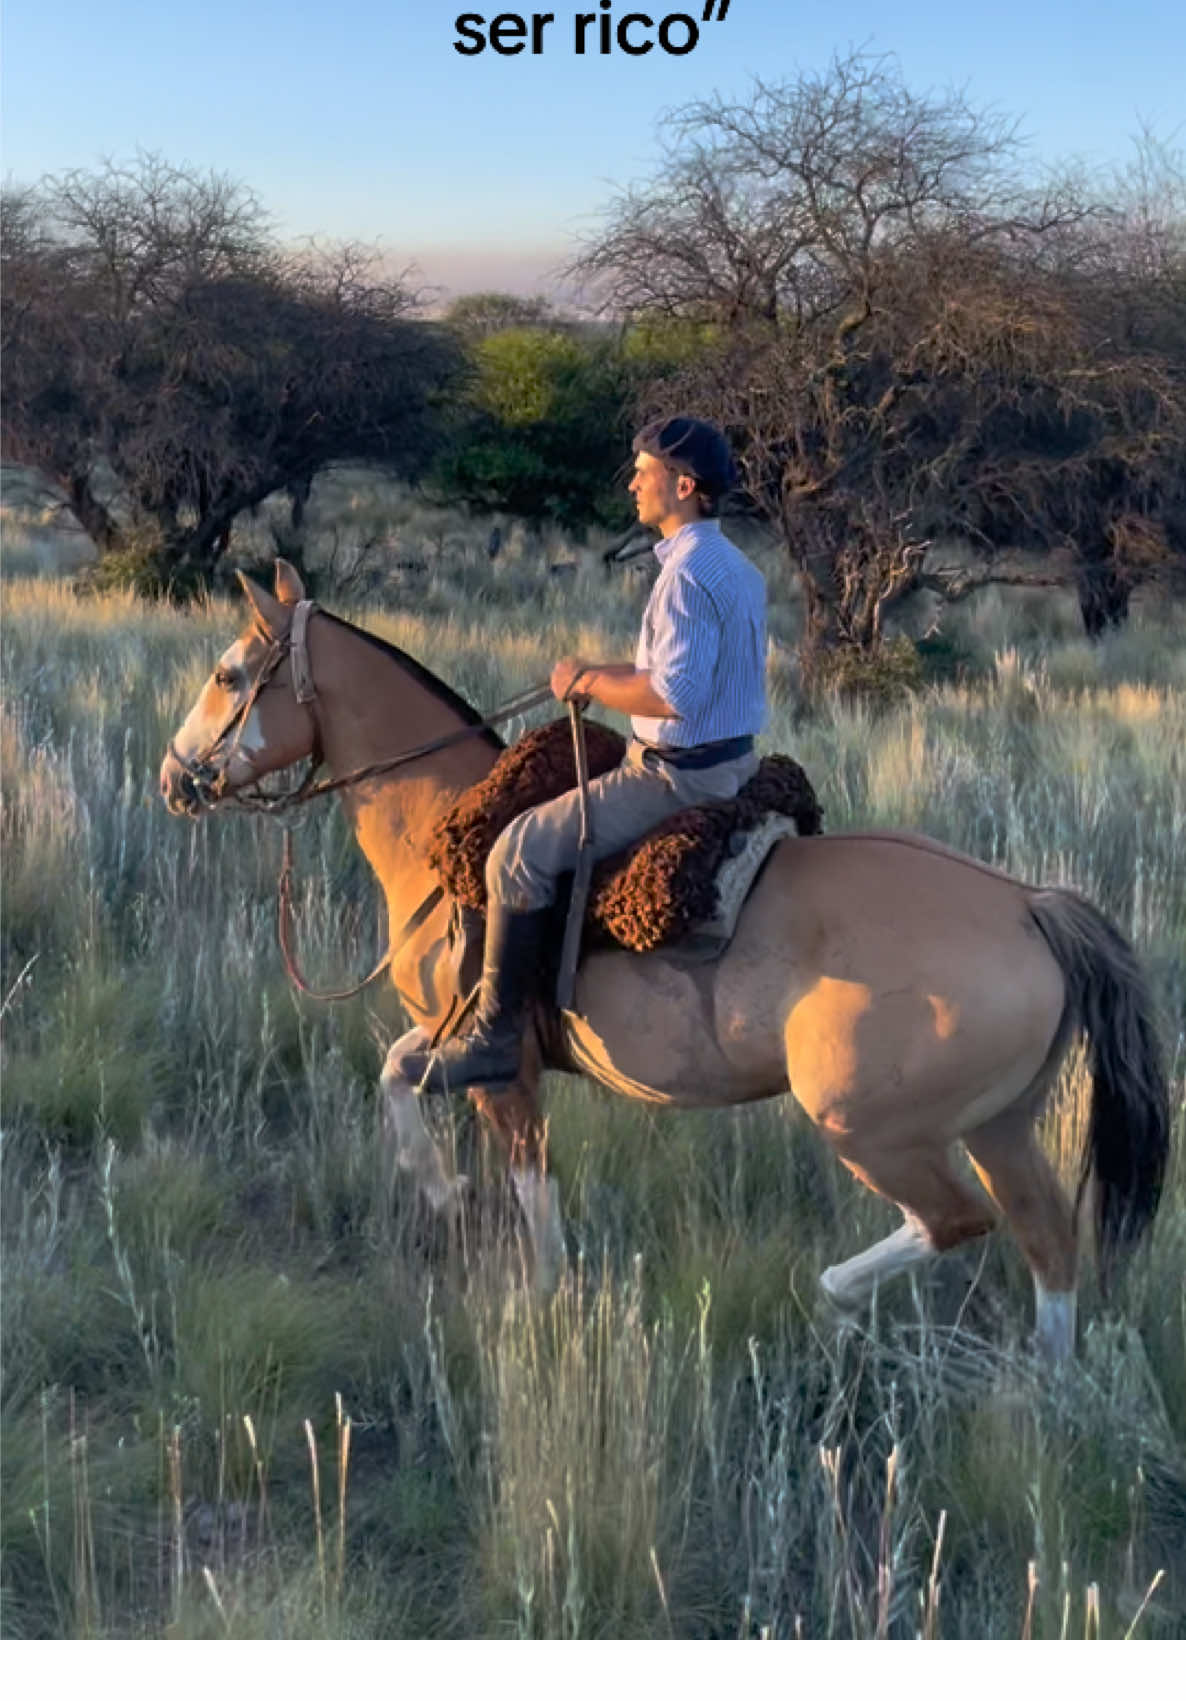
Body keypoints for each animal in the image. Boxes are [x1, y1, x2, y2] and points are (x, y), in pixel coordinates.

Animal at [157, 564, 1163, 1360]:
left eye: (229, 674)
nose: (174, 776)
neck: (447, 824)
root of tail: (1028, 905)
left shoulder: (503, 1066)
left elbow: (527, 1181)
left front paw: (539, 1285)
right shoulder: (453, 1038)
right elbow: (396, 1075)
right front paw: (444, 1189)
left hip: (874, 1130)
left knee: (959, 1221)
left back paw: (834, 1297)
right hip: (1001, 1126)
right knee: (1048, 1241)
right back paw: (1039, 1397)